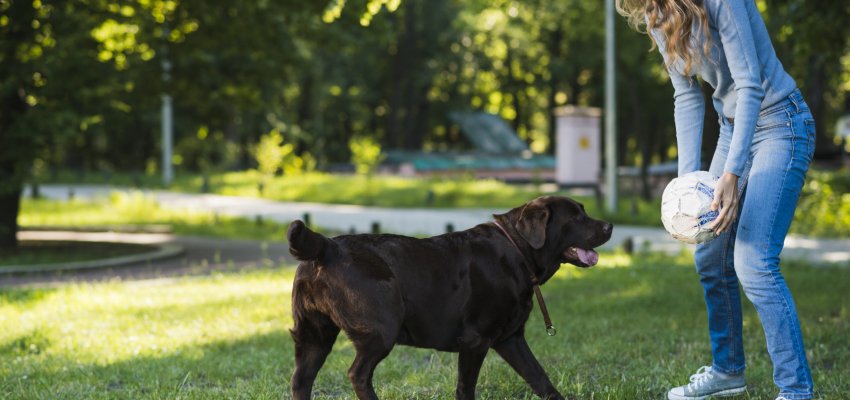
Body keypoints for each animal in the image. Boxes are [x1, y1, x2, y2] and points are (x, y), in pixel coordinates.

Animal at [288, 195, 612, 398]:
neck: (517, 250)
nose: (609, 226)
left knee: (301, 380)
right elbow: (465, 388)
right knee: (358, 374)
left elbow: (540, 378)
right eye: (575, 217)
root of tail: (327, 247)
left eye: (584, 211)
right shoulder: (475, 340)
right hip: (381, 330)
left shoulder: (511, 339)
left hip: (315, 336)